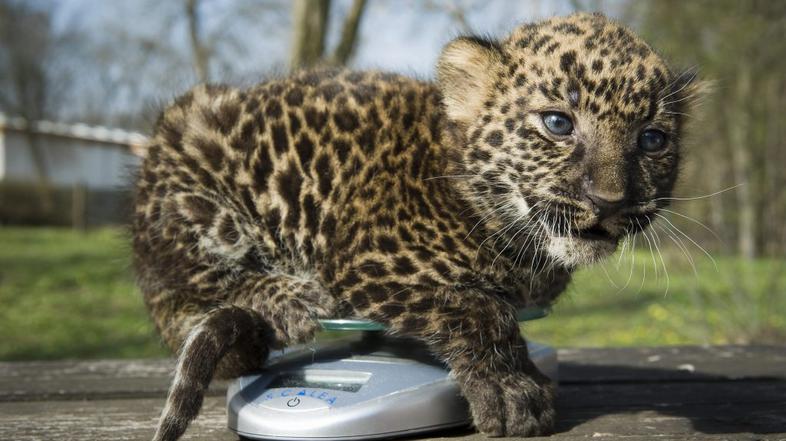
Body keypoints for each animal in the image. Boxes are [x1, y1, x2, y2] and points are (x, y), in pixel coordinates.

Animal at [132, 12, 699, 441]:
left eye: (652, 140)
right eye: (558, 123)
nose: (609, 199)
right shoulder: (371, 259)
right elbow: (478, 306)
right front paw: (512, 392)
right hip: (191, 160)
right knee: (190, 281)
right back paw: (291, 297)